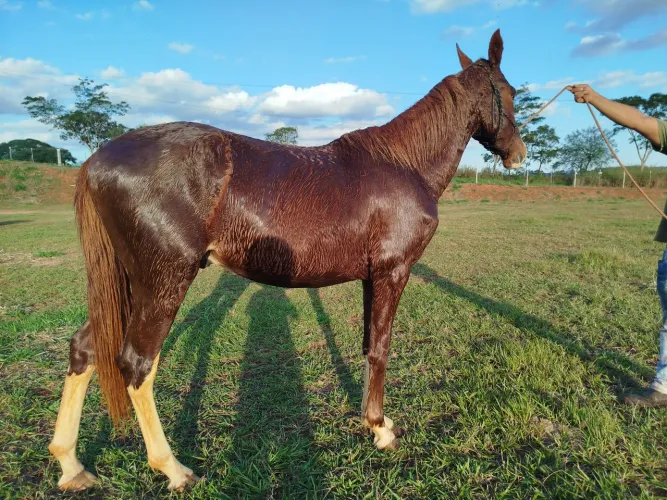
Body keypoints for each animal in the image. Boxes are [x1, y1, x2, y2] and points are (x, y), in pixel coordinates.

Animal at [48, 29, 526, 491]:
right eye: (510, 91)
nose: (519, 154)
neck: (404, 164)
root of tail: (96, 159)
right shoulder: (393, 272)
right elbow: (381, 349)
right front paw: (380, 429)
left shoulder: (372, 277)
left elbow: (368, 345)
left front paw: (371, 421)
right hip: (161, 281)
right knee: (136, 363)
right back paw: (173, 469)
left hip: (127, 283)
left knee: (87, 348)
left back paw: (71, 465)